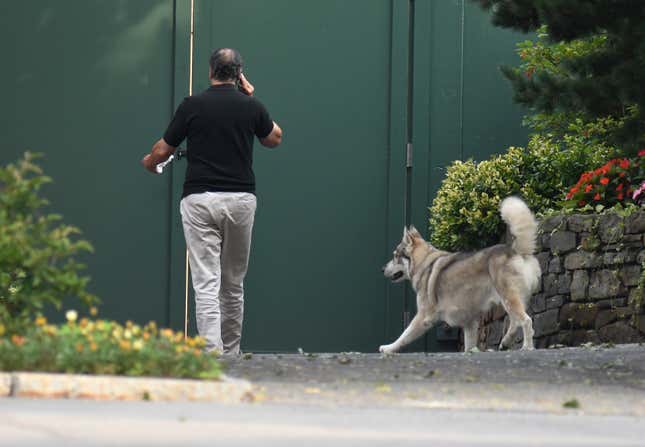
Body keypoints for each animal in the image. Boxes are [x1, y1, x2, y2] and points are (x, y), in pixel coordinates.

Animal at [380, 198, 540, 356]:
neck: (424, 261)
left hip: (508, 298)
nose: (382, 269)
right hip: (510, 300)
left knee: (526, 321)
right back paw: (506, 342)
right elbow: (469, 346)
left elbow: (404, 336)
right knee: (515, 322)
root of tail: (515, 250)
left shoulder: (424, 317)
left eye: (395, 256)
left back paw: (527, 347)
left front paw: (389, 348)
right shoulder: (470, 322)